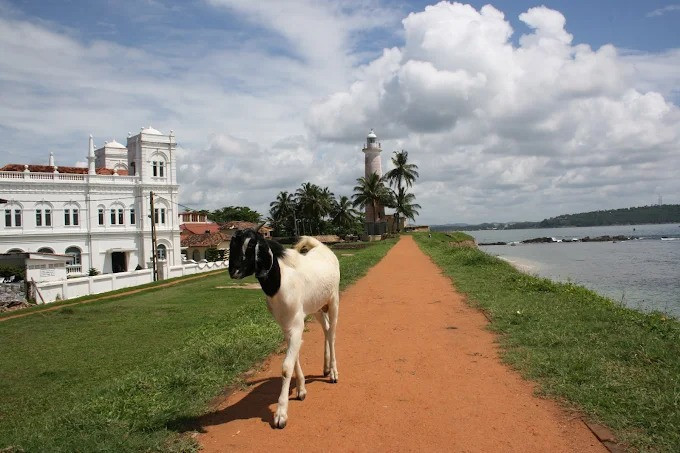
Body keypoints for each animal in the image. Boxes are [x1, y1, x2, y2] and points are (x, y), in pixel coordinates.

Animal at [228, 228, 342, 430]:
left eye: (251, 244)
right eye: (232, 244)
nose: (233, 270)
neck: (281, 282)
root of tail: (321, 246)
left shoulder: (296, 324)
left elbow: (286, 367)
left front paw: (281, 414)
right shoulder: (285, 324)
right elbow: (293, 358)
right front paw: (301, 390)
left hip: (334, 299)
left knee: (332, 333)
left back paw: (334, 373)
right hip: (316, 307)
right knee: (327, 328)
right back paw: (326, 367)